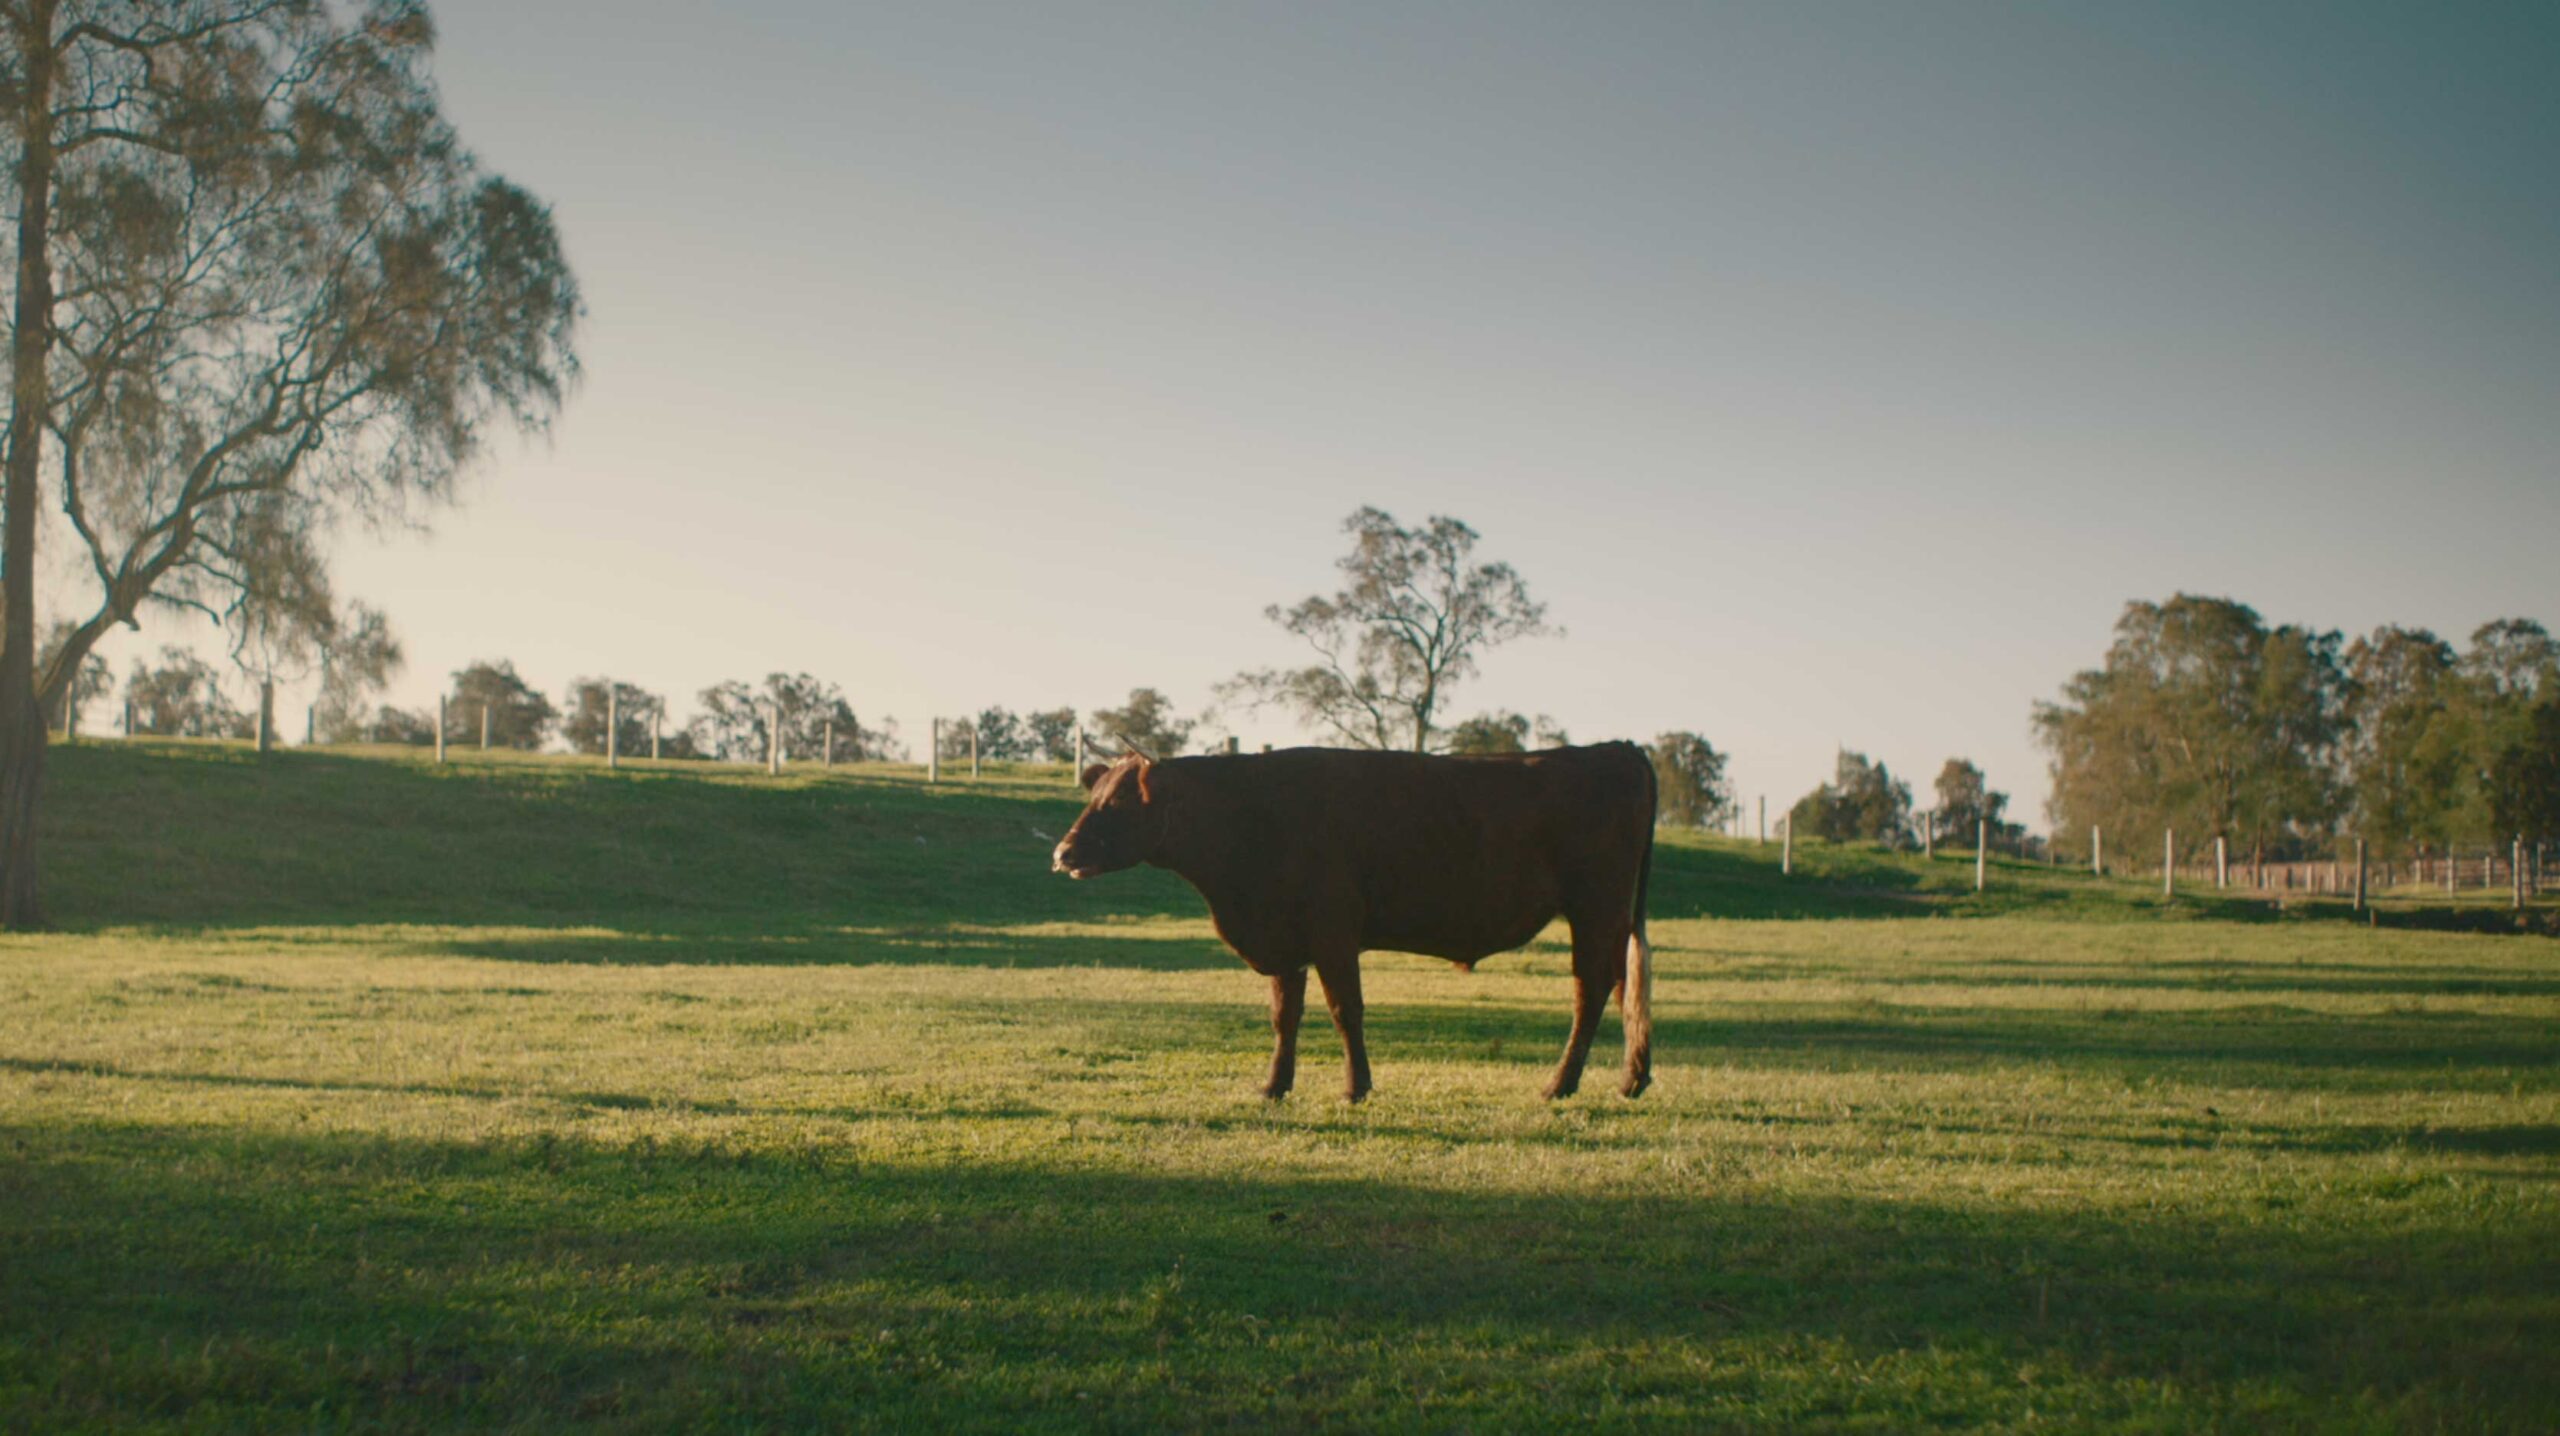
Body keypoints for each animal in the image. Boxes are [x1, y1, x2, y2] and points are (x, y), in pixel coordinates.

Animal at [1050, 742, 1655, 1102]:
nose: (1062, 853)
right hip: (1613, 916)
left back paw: (1560, 1085)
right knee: (1623, 983)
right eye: (1094, 797)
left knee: (1590, 989)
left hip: (1595, 906)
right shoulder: (1284, 936)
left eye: (1118, 805)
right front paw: (1274, 1087)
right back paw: (1631, 1079)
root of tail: (1617, 750)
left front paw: (1356, 1088)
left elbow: (1346, 1011)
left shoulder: (1333, 932)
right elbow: (1284, 1017)